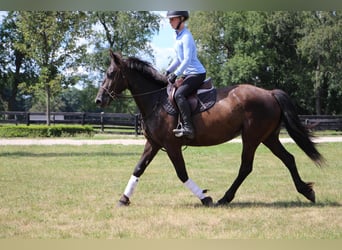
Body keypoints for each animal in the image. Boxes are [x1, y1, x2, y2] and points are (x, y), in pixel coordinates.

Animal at [94, 49, 324, 206]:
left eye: (111, 73)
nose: (99, 100)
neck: (156, 100)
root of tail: (269, 93)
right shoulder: (154, 143)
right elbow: (138, 168)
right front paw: (123, 199)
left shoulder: (171, 145)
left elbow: (182, 173)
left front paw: (205, 197)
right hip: (268, 137)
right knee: (288, 159)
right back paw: (306, 191)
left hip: (251, 137)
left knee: (246, 167)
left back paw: (225, 198)